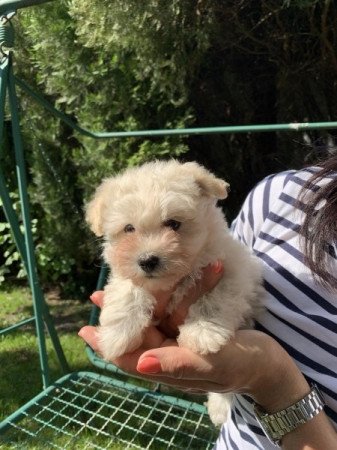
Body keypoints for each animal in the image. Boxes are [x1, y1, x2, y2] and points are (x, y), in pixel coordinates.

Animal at [85, 161, 264, 426]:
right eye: (129, 228)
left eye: (173, 223)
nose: (147, 260)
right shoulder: (125, 275)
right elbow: (129, 290)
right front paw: (117, 336)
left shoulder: (231, 271)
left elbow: (214, 299)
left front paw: (202, 333)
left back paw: (220, 408)